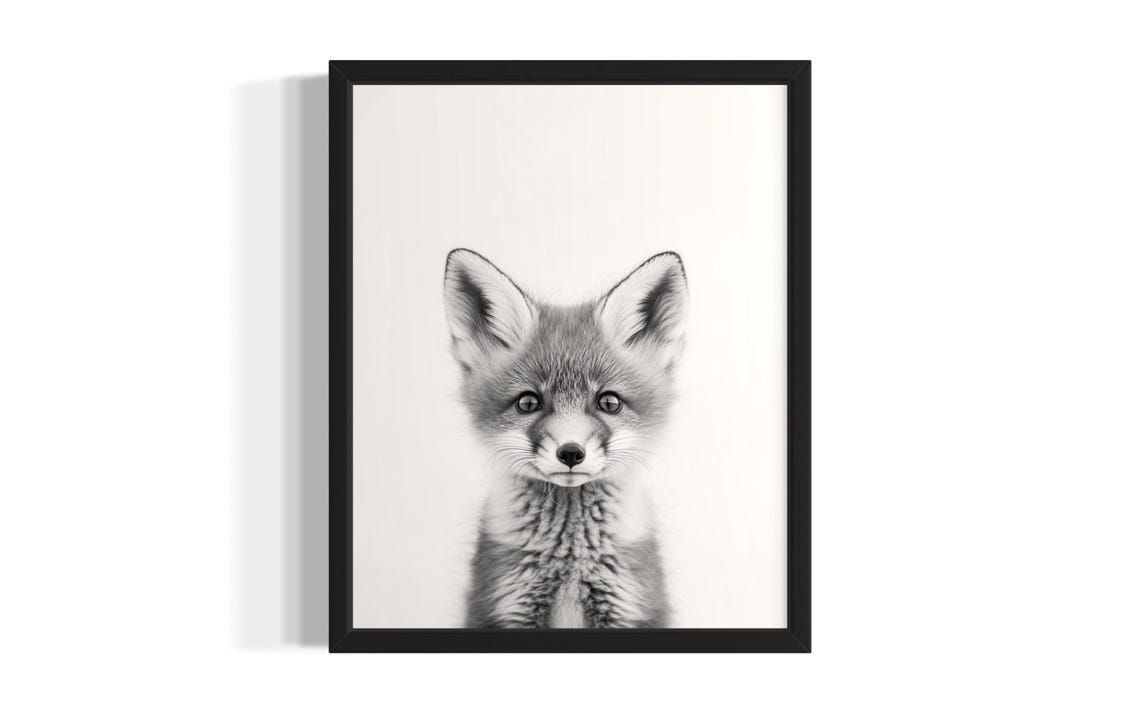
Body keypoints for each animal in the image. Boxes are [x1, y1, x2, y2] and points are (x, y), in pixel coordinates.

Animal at [443, 248, 688, 628]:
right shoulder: (503, 607)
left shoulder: (630, 607)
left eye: (609, 402)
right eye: (528, 402)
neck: (570, 559)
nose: (571, 453)